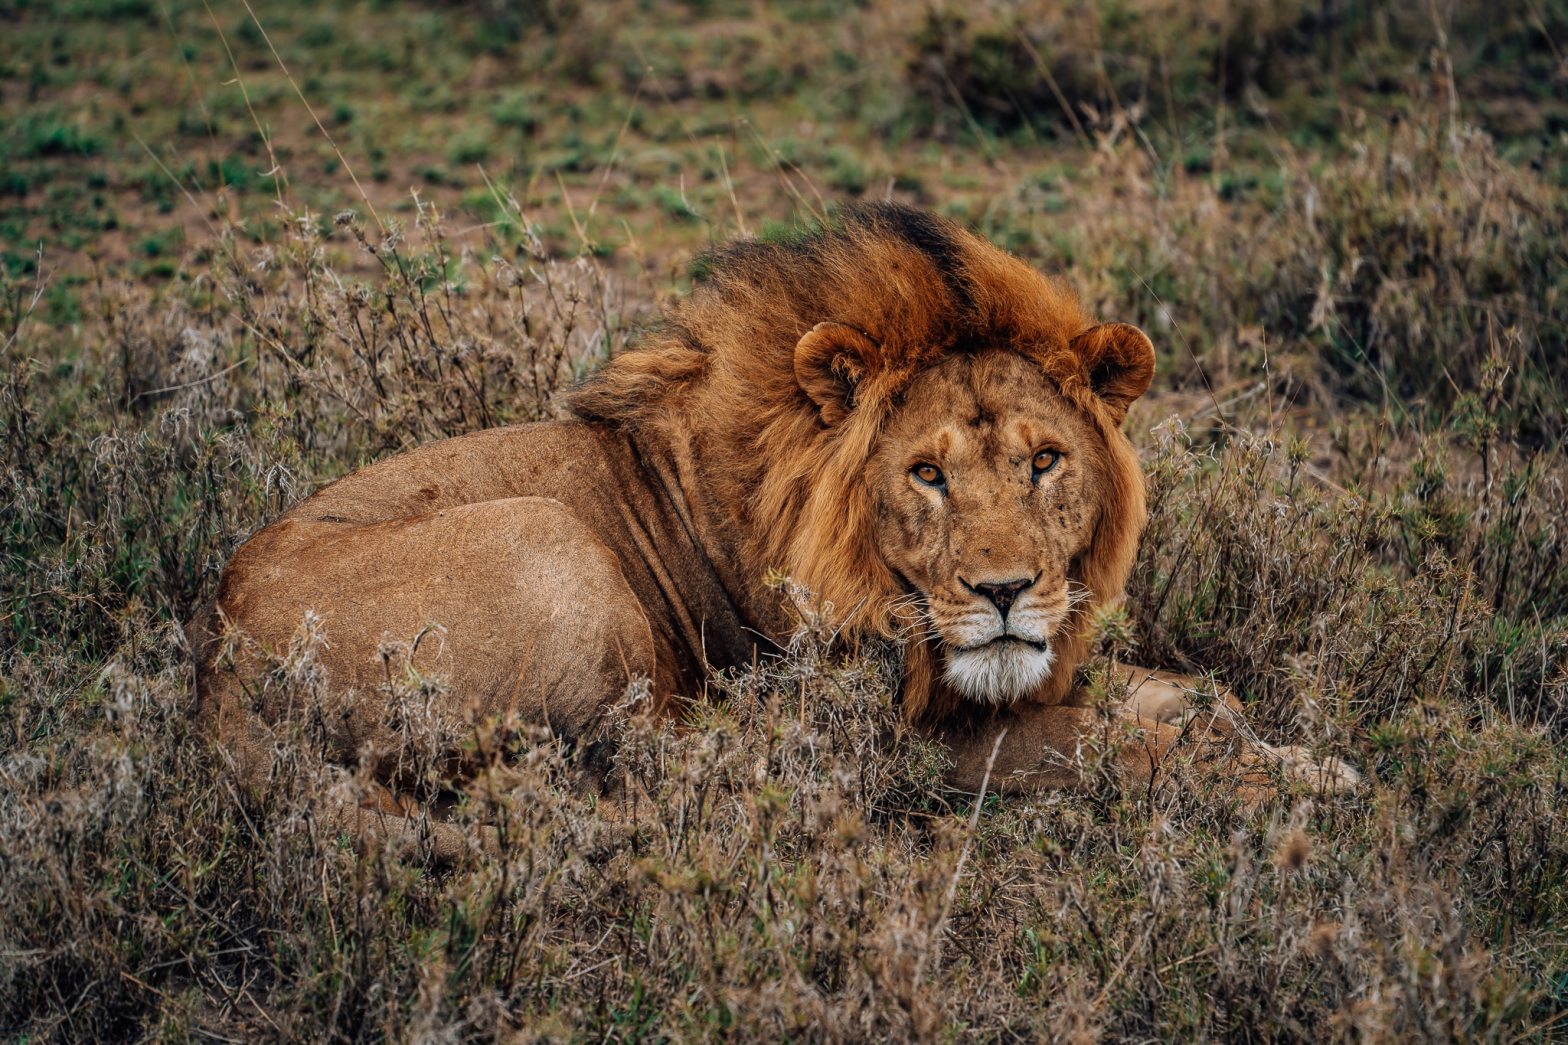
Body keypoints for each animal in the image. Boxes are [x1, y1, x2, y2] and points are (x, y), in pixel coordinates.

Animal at [190, 203, 1357, 859]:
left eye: (1044, 460)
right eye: (926, 473)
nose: (1003, 592)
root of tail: (215, 675)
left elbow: (1189, 693)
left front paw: (1294, 753)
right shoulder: (902, 732)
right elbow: (1108, 743)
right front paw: (1277, 781)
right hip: (546, 537)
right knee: (645, 775)